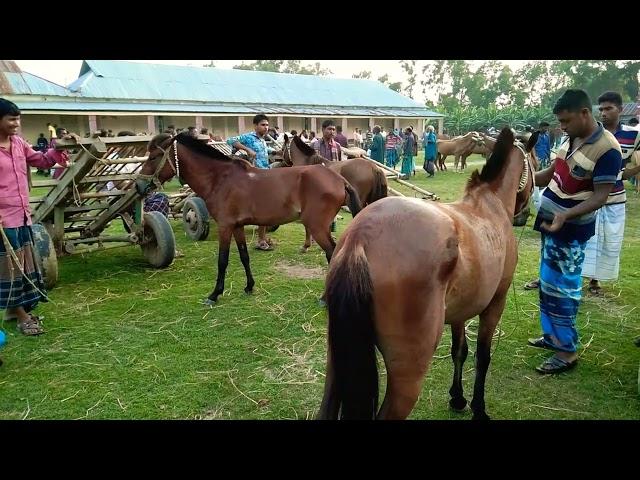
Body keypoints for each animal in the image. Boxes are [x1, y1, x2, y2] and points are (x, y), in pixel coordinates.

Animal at [316, 128, 536, 420]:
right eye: (534, 162)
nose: (525, 215)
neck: (488, 206)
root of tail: (361, 237)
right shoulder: (494, 304)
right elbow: (482, 357)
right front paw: (478, 408)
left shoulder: (460, 311)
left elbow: (459, 351)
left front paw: (457, 397)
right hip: (407, 376)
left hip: (336, 363)